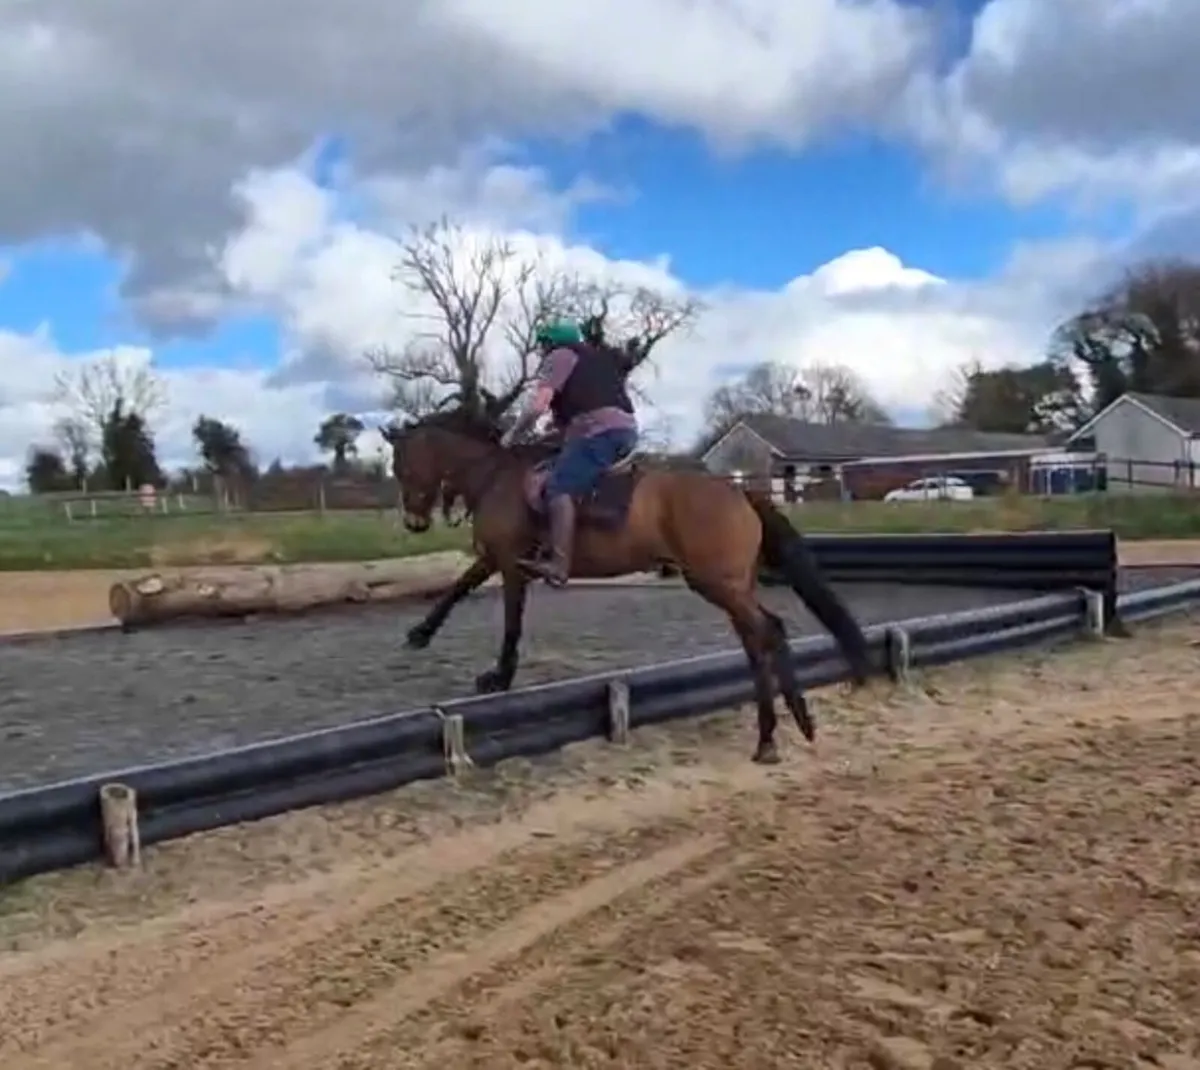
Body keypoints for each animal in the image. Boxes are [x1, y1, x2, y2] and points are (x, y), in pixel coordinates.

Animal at [384, 407, 874, 763]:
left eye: (403, 467)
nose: (414, 523)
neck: (493, 475)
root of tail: (739, 492)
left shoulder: (510, 565)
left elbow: (509, 621)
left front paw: (499, 676)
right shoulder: (494, 559)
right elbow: (458, 587)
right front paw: (420, 634)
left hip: (718, 583)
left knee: (768, 631)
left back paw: (787, 726)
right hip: (731, 586)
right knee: (759, 640)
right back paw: (778, 731)